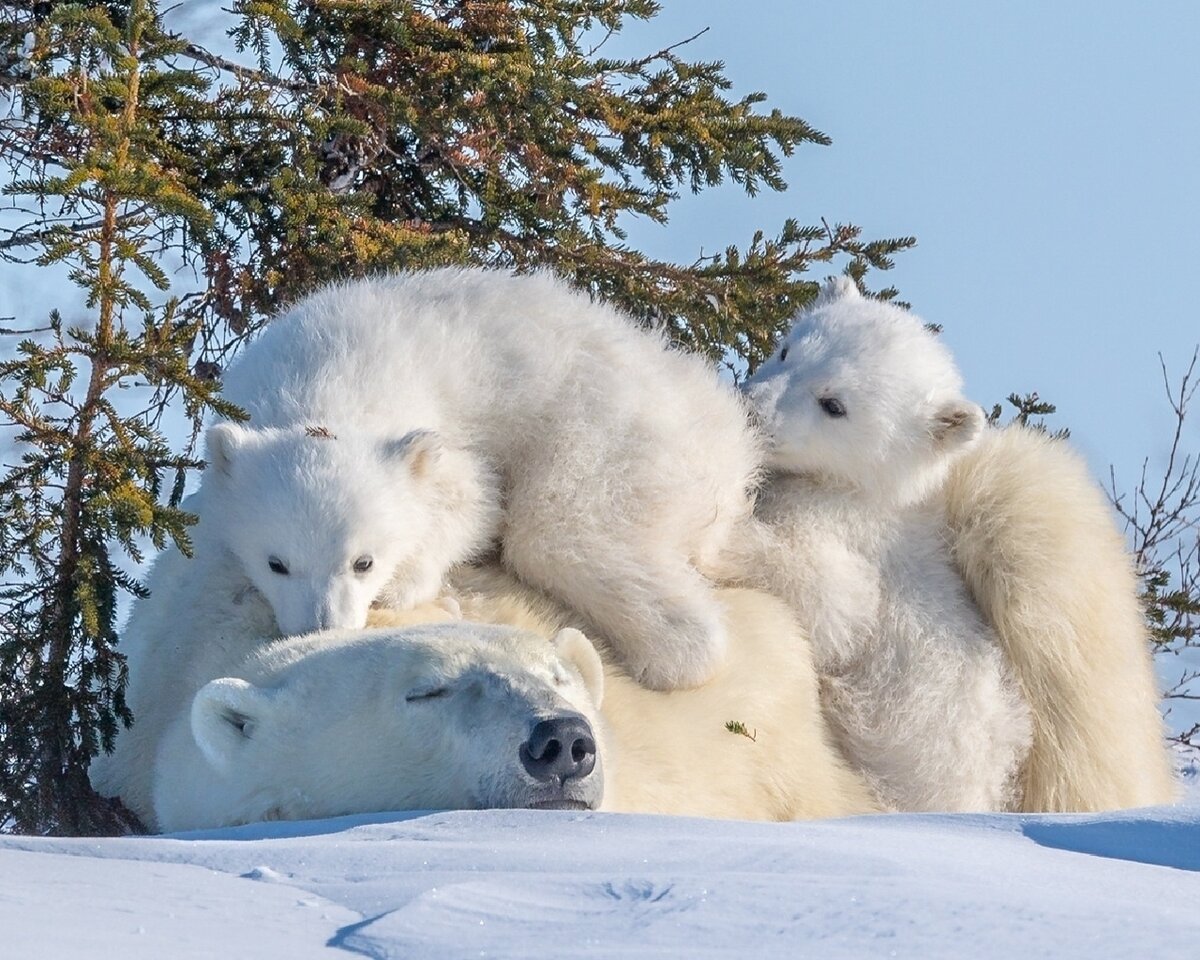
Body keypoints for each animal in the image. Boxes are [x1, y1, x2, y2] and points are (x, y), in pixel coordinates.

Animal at [166, 270, 758, 691]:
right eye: (277, 563)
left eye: (364, 562)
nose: (323, 627)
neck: (322, 380)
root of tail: (725, 433)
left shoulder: (438, 432)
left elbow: (473, 501)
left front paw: (404, 583)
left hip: (612, 434)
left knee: (562, 532)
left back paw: (670, 656)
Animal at [729, 277, 1032, 811]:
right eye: (788, 350)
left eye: (834, 404)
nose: (752, 407)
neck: (873, 492)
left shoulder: (850, 532)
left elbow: (830, 599)